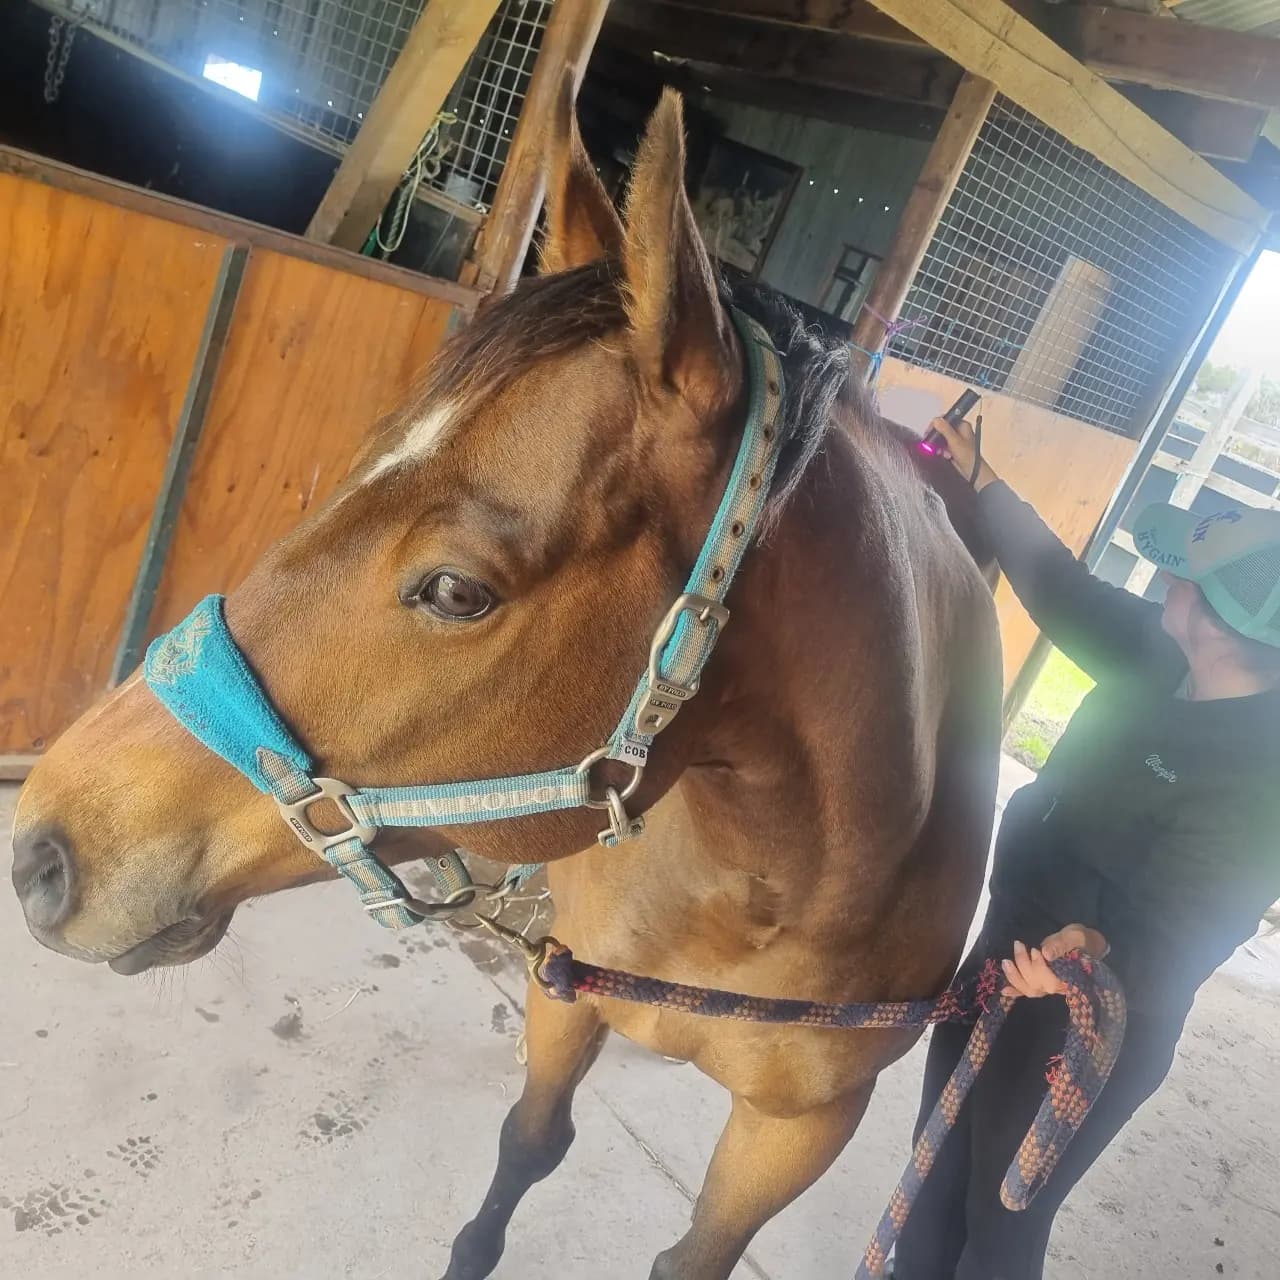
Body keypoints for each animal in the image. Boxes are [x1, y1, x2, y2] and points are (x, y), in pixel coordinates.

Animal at [11, 91, 1002, 1279]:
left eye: (455, 589)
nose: (41, 852)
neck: (762, 883)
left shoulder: (798, 1129)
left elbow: (690, 1254)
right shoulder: (563, 990)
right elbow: (529, 1140)